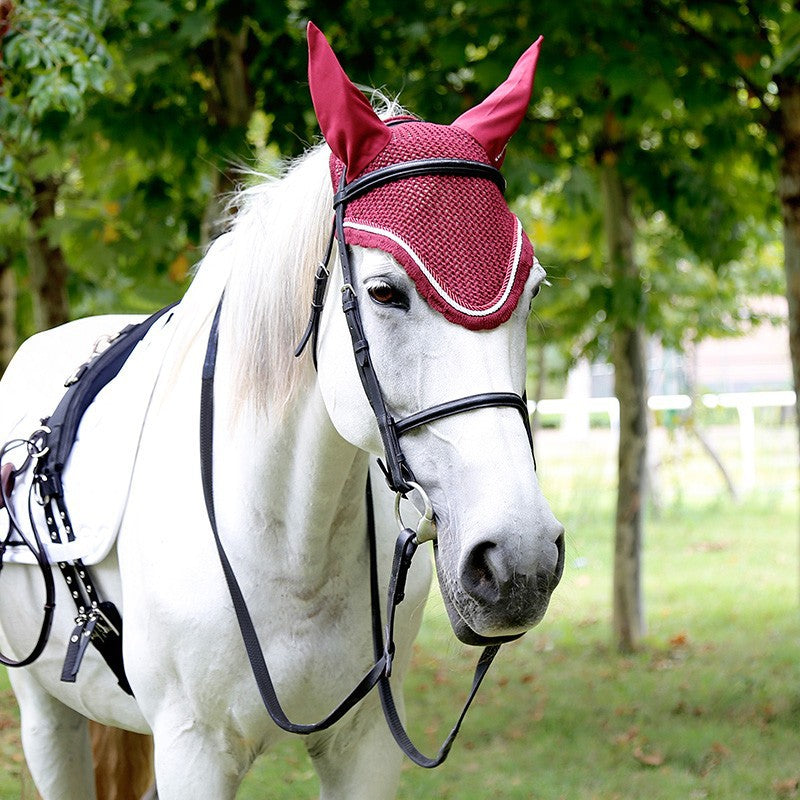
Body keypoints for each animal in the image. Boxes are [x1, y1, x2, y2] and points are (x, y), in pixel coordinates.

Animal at [0, 23, 564, 800]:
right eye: (385, 291)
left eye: (532, 290)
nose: (520, 560)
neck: (290, 547)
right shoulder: (193, 750)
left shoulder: (366, 748)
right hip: (45, 716)